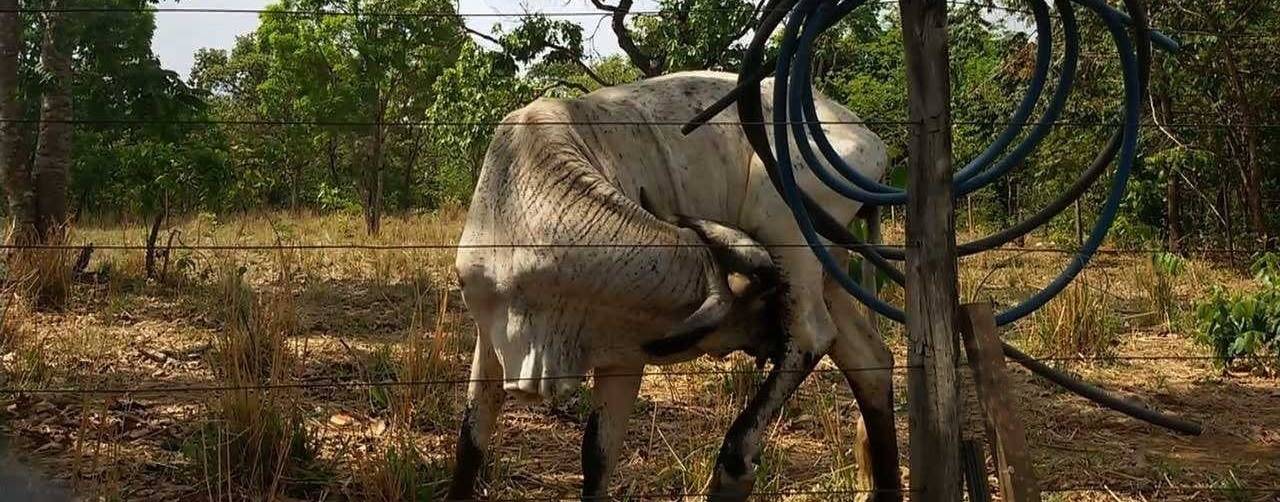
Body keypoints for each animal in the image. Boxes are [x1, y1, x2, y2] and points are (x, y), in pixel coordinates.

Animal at [448, 71, 900, 501]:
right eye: (760, 305)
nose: (770, 341)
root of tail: (871, 141)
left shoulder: (624, 356)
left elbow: (597, 457)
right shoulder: (488, 337)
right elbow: (471, 443)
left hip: (787, 229)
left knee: (811, 335)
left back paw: (733, 465)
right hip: (826, 273)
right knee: (870, 361)